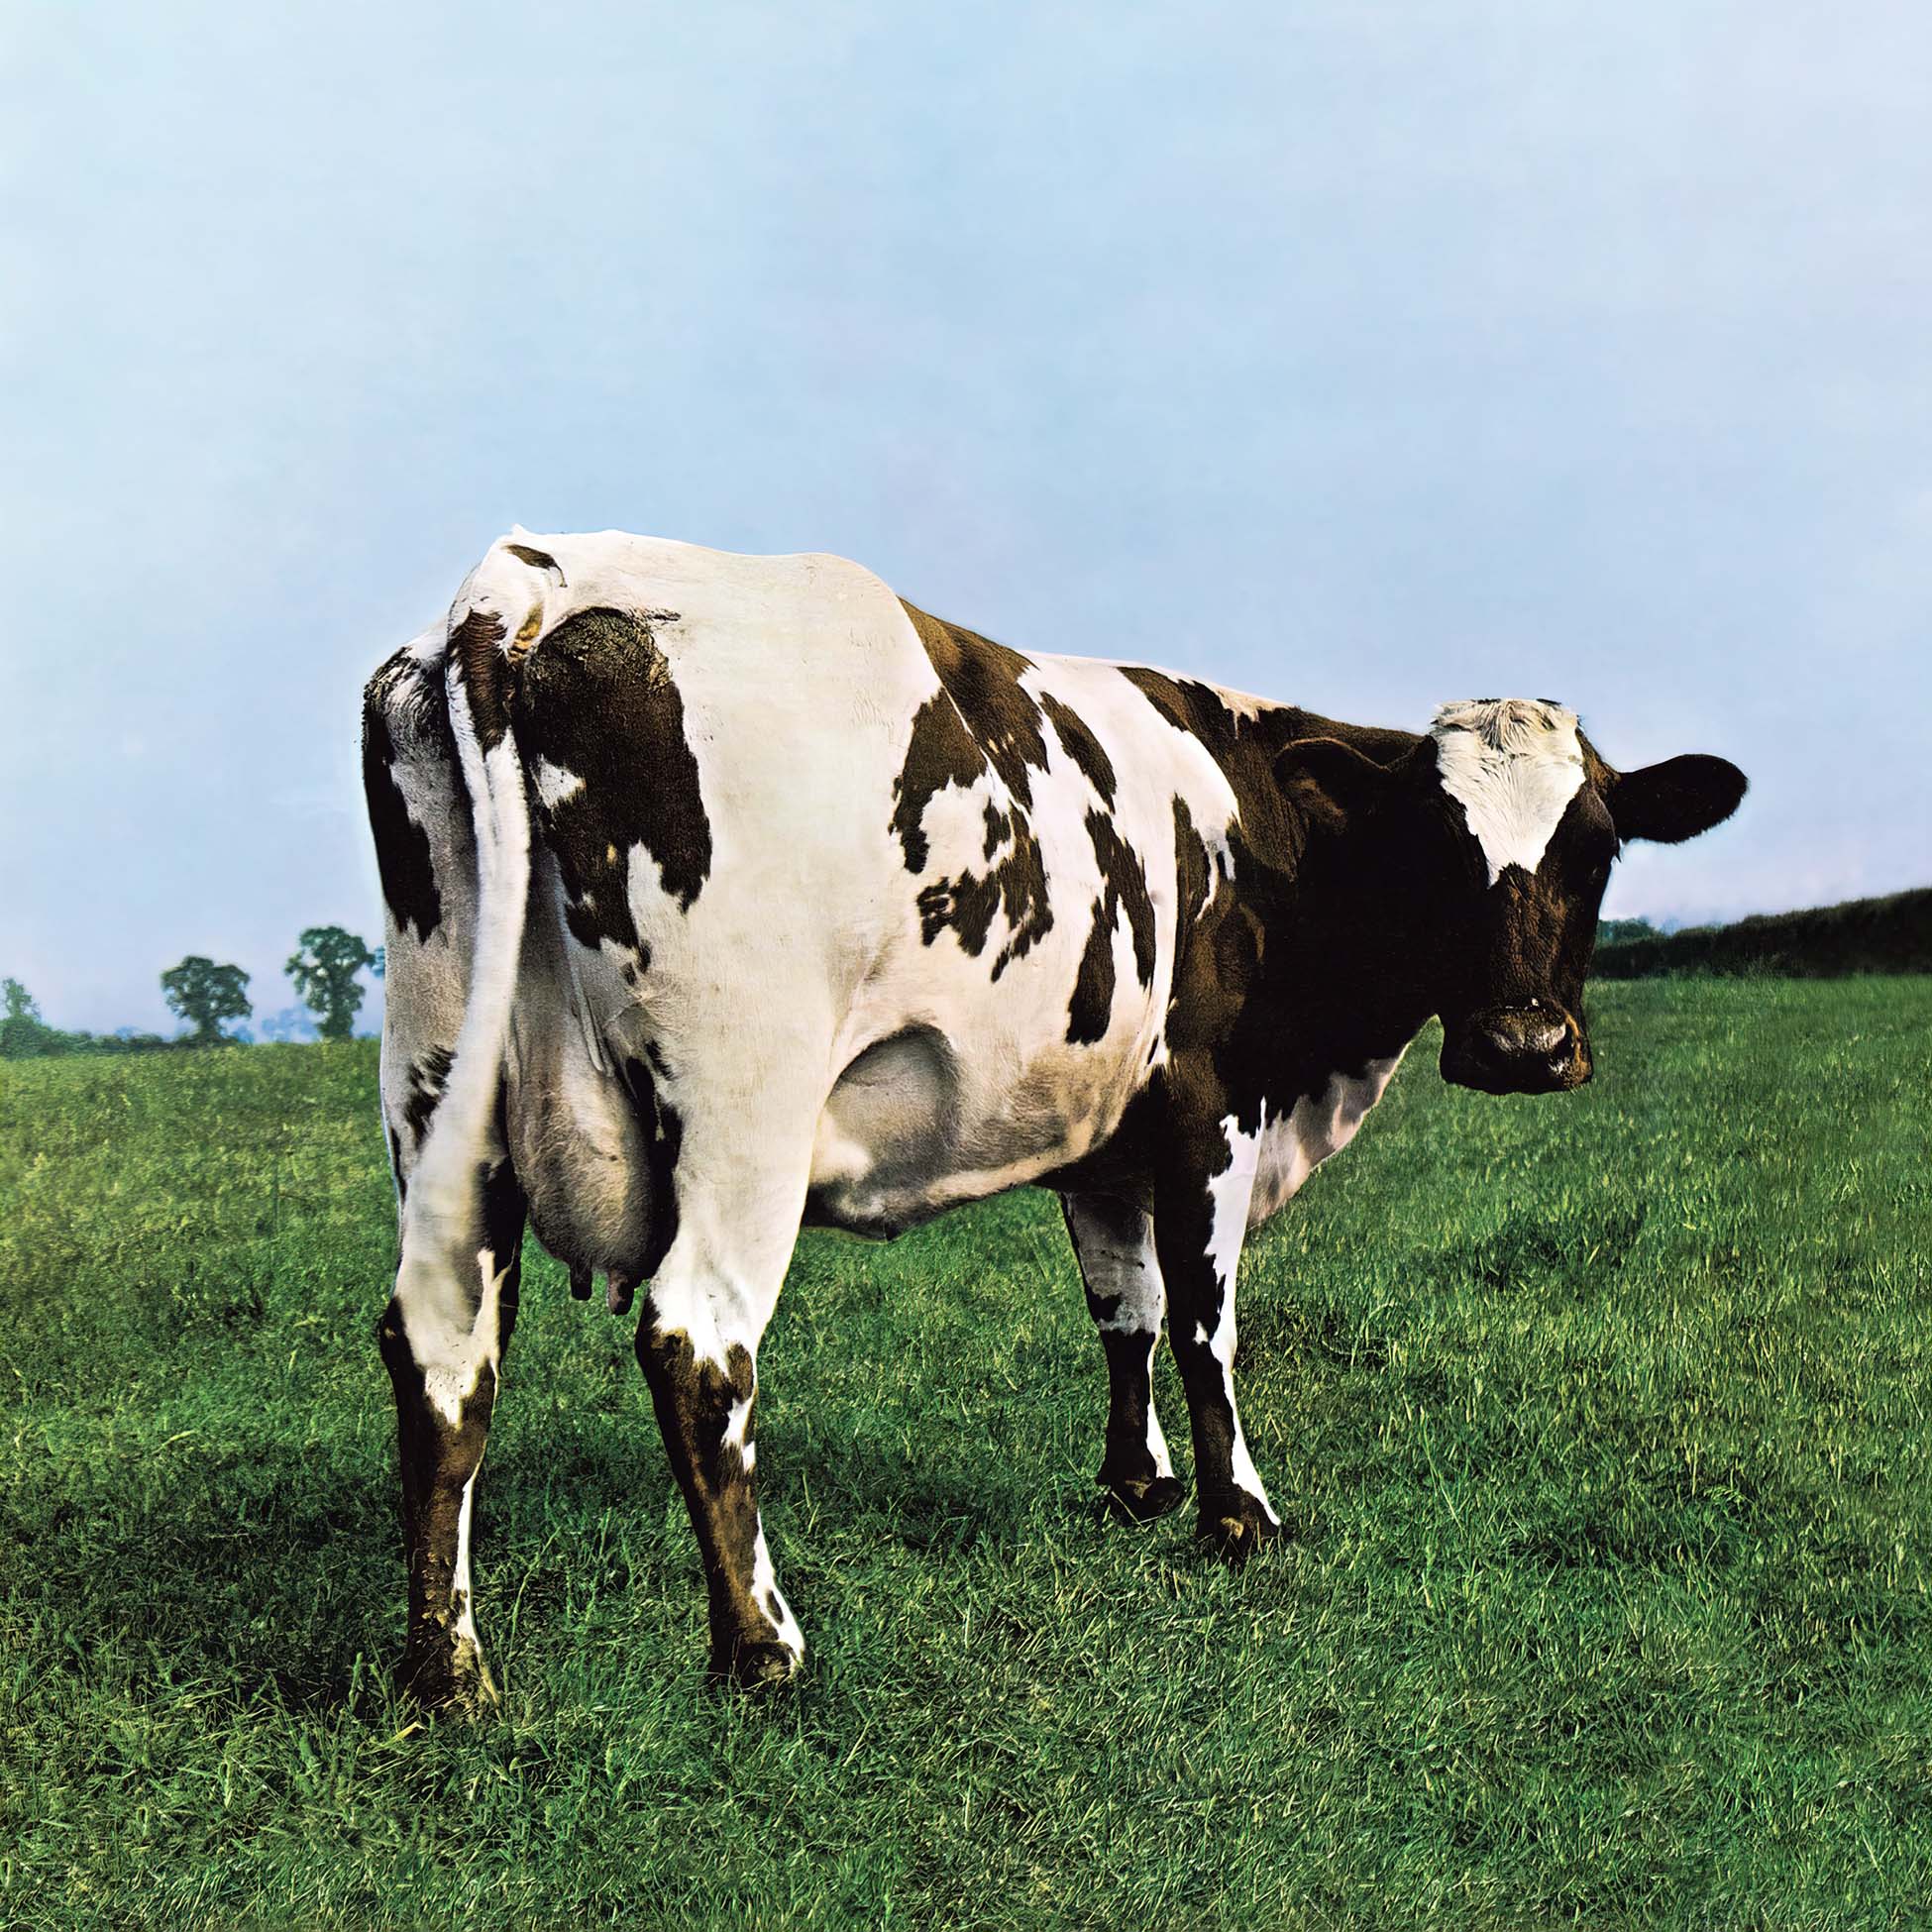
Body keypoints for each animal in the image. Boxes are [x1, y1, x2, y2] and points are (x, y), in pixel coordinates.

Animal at [362, 528, 1746, 1702]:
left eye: (1597, 847)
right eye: (1436, 847)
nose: (1524, 1047)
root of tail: (536, 580)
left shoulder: (1102, 1132)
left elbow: (1121, 1308)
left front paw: (1138, 1484)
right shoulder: (1208, 1109)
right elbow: (1203, 1321)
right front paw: (1239, 1514)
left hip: (438, 1088)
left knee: (441, 1346)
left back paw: (448, 1669)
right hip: (743, 1105)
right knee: (697, 1345)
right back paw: (762, 1647)